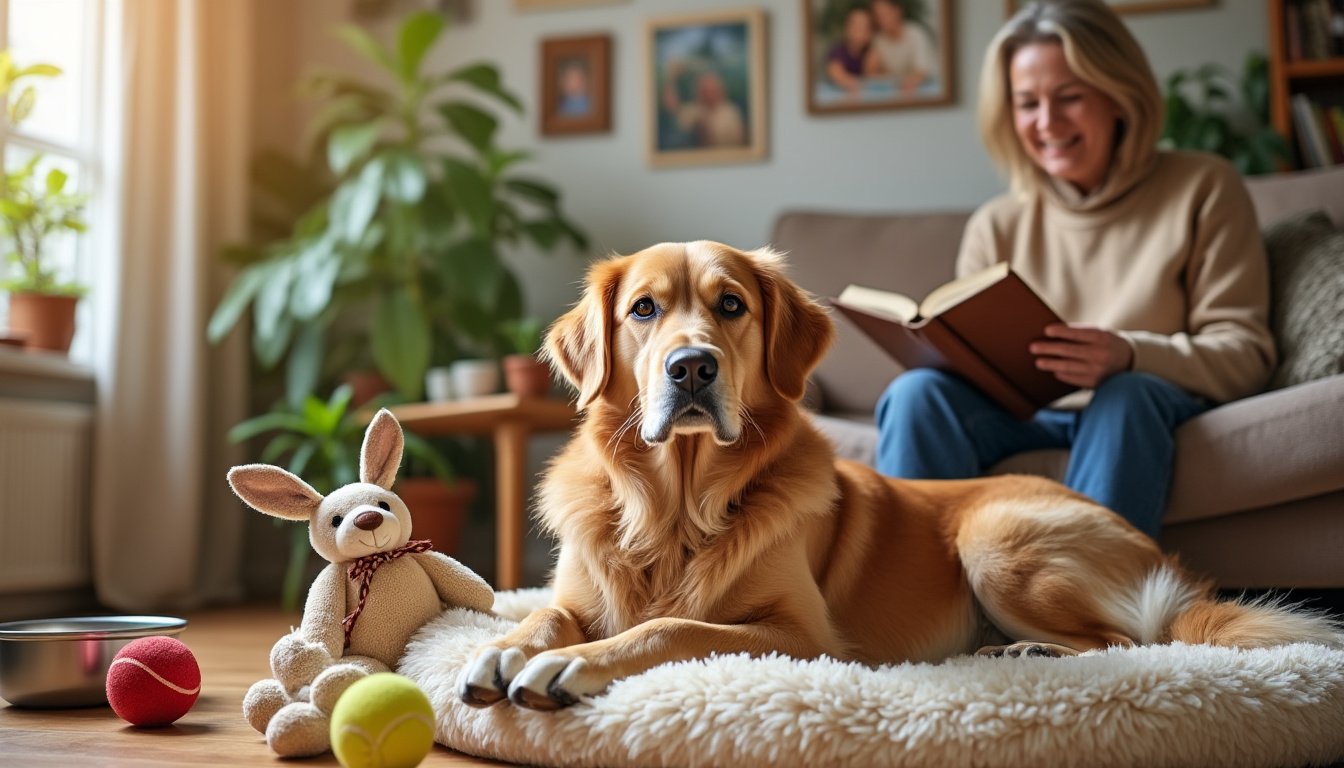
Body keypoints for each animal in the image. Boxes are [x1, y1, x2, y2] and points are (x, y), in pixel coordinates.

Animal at [456, 242, 1338, 715]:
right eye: (643, 310)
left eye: (731, 305)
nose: (692, 367)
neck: (677, 502)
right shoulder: (576, 594)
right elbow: (542, 615)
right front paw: (501, 651)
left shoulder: (800, 637)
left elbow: (672, 627)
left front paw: (571, 667)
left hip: (996, 539)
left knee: (1133, 640)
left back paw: (1021, 656)